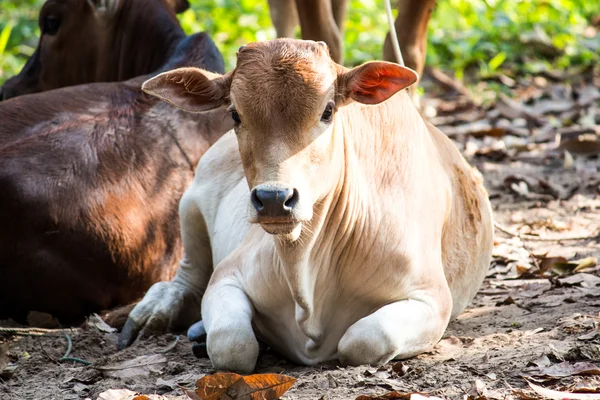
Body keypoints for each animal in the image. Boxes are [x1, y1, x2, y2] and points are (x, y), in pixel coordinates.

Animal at [118, 39, 492, 370]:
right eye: (235, 114)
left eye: (327, 111)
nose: (274, 199)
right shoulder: (227, 276)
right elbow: (232, 345)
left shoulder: (433, 297)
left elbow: (363, 341)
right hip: (190, 205)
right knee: (187, 279)